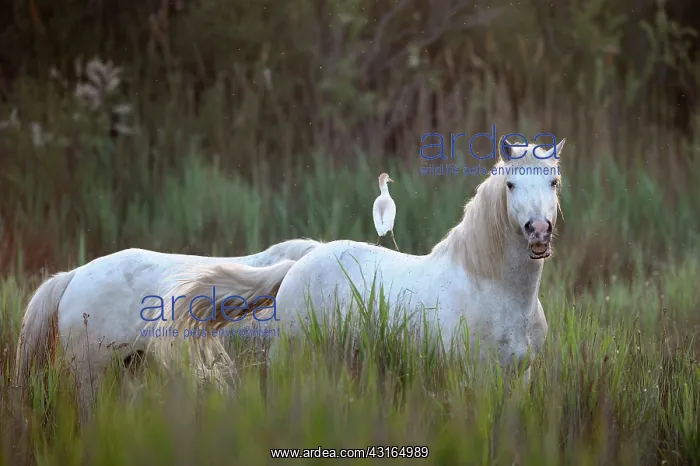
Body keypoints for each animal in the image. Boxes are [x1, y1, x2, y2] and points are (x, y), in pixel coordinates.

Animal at [150, 136, 566, 386]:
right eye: (511, 184)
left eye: (554, 181)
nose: (538, 231)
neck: (494, 291)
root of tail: (303, 261)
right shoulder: (475, 377)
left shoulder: (520, 377)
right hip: (293, 356)